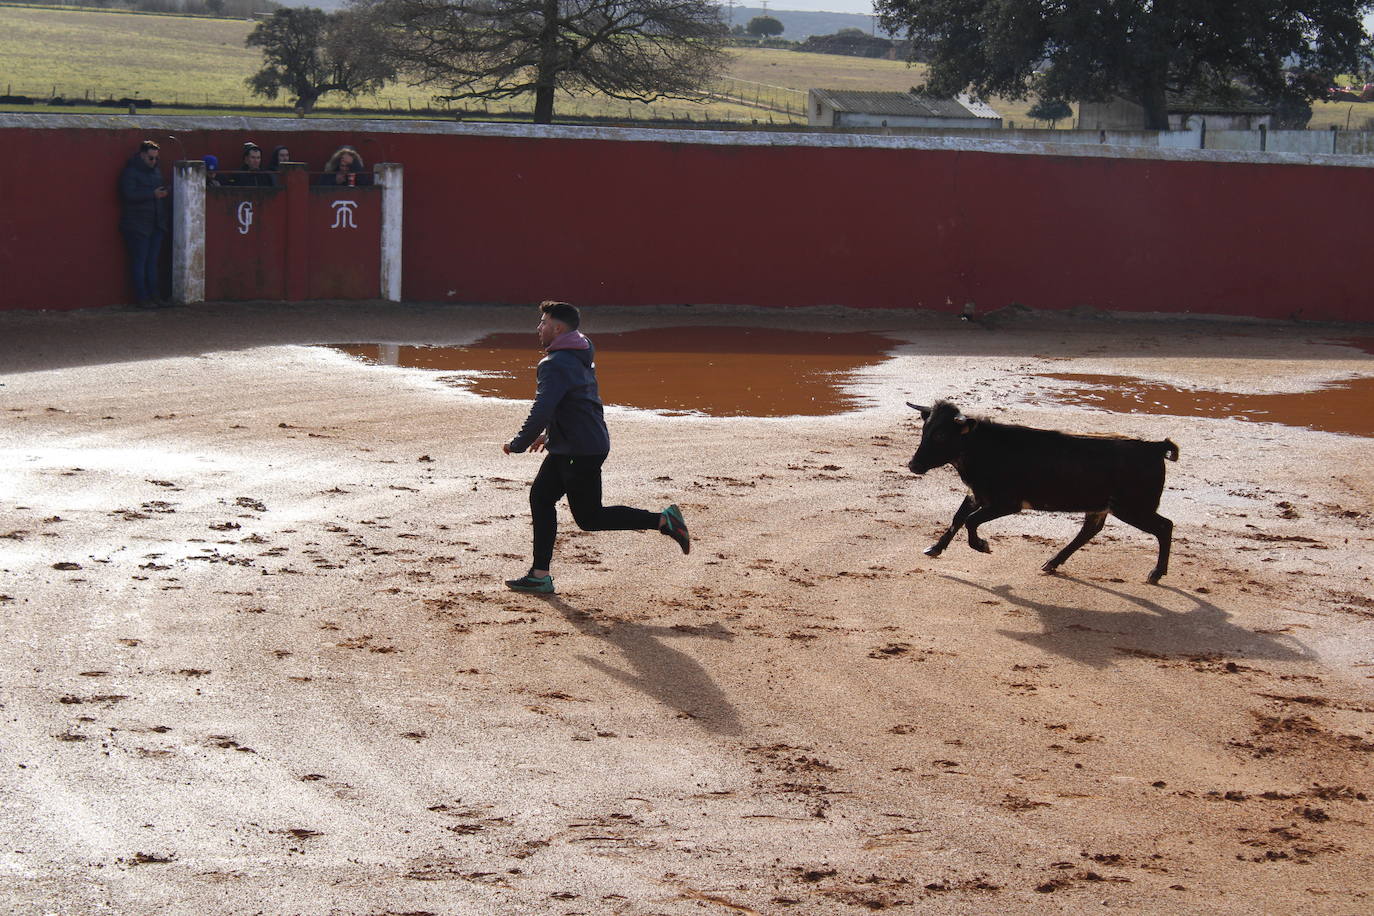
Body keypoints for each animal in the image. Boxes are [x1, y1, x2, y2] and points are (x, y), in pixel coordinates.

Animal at [906, 403, 1176, 587]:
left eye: (941, 435)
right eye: (925, 430)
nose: (913, 465)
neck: (984, 448)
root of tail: (1154, 447)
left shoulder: (1006, 503)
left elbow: (970, 521)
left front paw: (983, 546)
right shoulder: (977, 495)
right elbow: (957, 519)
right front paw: (935, 548)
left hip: (1133, 508)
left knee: (1165, 526)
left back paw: (1156, 574)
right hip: (1104, 506)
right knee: (1090, 530)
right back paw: (1052, 563)